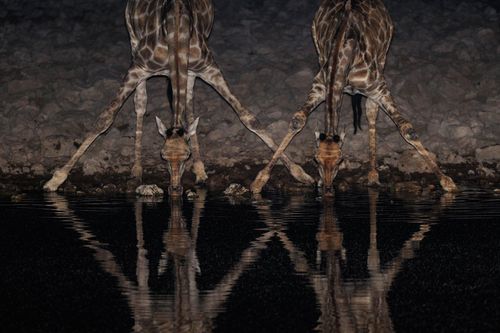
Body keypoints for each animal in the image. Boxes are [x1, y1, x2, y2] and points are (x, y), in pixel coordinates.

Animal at [42, 0, 312, 195]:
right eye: (162, 156)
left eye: (187, 156)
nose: (174, 188)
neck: (176, 33)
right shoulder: (137, 68)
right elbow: (104, 119)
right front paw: (55, 180)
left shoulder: (207, 68)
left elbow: (248, 118)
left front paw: (300, 174)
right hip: (133, 40)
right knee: (141, 104)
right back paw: (136, 169)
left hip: (190, 70)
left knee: (189, 105)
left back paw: (201, 172)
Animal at [250, 0, 458, 195]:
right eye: (316, 160)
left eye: (340, 160)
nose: (327, 188)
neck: (344, 53)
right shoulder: (320, 86)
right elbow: (297, 121)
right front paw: (260, 180)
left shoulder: (379, 88)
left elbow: (407, 129)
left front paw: (447, 182)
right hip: (318, 47)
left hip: (383, 58)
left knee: (371, 113)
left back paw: (373, 174)